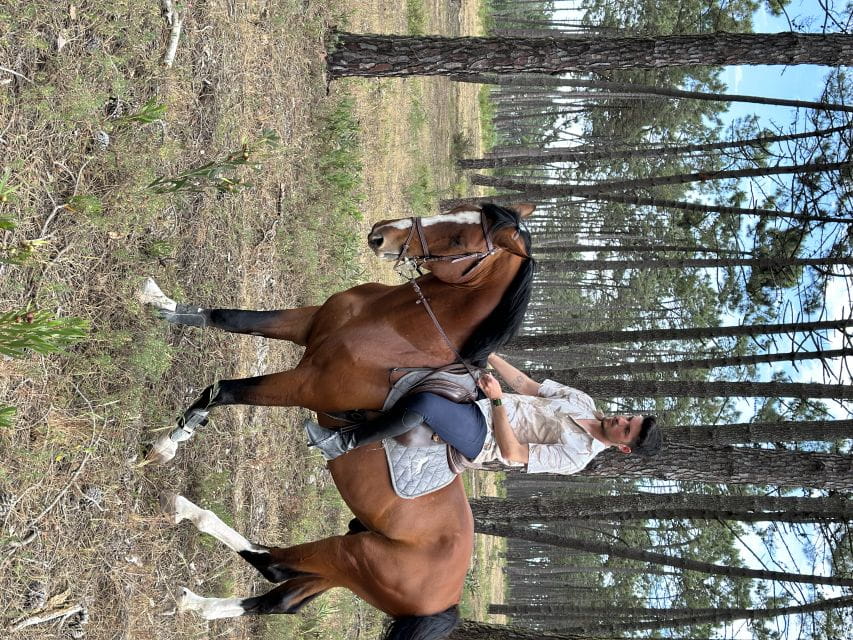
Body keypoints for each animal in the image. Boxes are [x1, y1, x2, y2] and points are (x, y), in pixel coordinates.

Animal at [142, 203, 535, 639]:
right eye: (454, 208)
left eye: (458, 240)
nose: (382, 234)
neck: (393, 327)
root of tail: (447, 599)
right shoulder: (305, 324)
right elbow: (227, 317)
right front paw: (159, 301)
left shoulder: (305, 385)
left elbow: (221, 391)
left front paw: (167, 445)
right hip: (347, 571)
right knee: (284, 599)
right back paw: (199, 605)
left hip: (353, 555)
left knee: (274, 565)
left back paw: (187, 512)